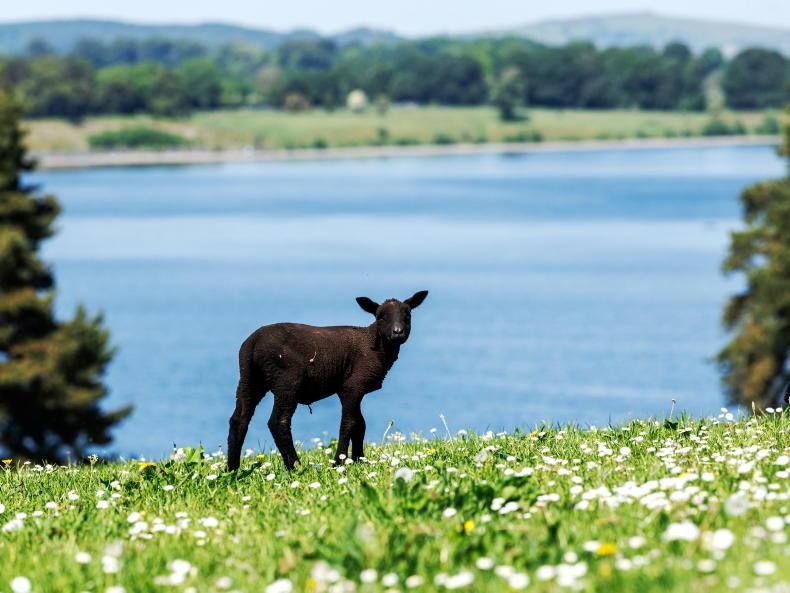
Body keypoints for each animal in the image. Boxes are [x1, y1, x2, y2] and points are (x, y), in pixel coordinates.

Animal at [227, 290, 429, 470]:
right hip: (286, 380)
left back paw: (232, 470)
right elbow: (349, 423)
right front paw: (339, 462)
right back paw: (295, 467)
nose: (397, 332)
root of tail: (253, 343)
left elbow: (360, 424)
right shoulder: (354, 385)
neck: (375, 344)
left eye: (408, 314)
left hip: (249, 379)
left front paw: (359, 459)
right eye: (380, 316)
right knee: (278, 422)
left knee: (239, 419)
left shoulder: (345, 388)